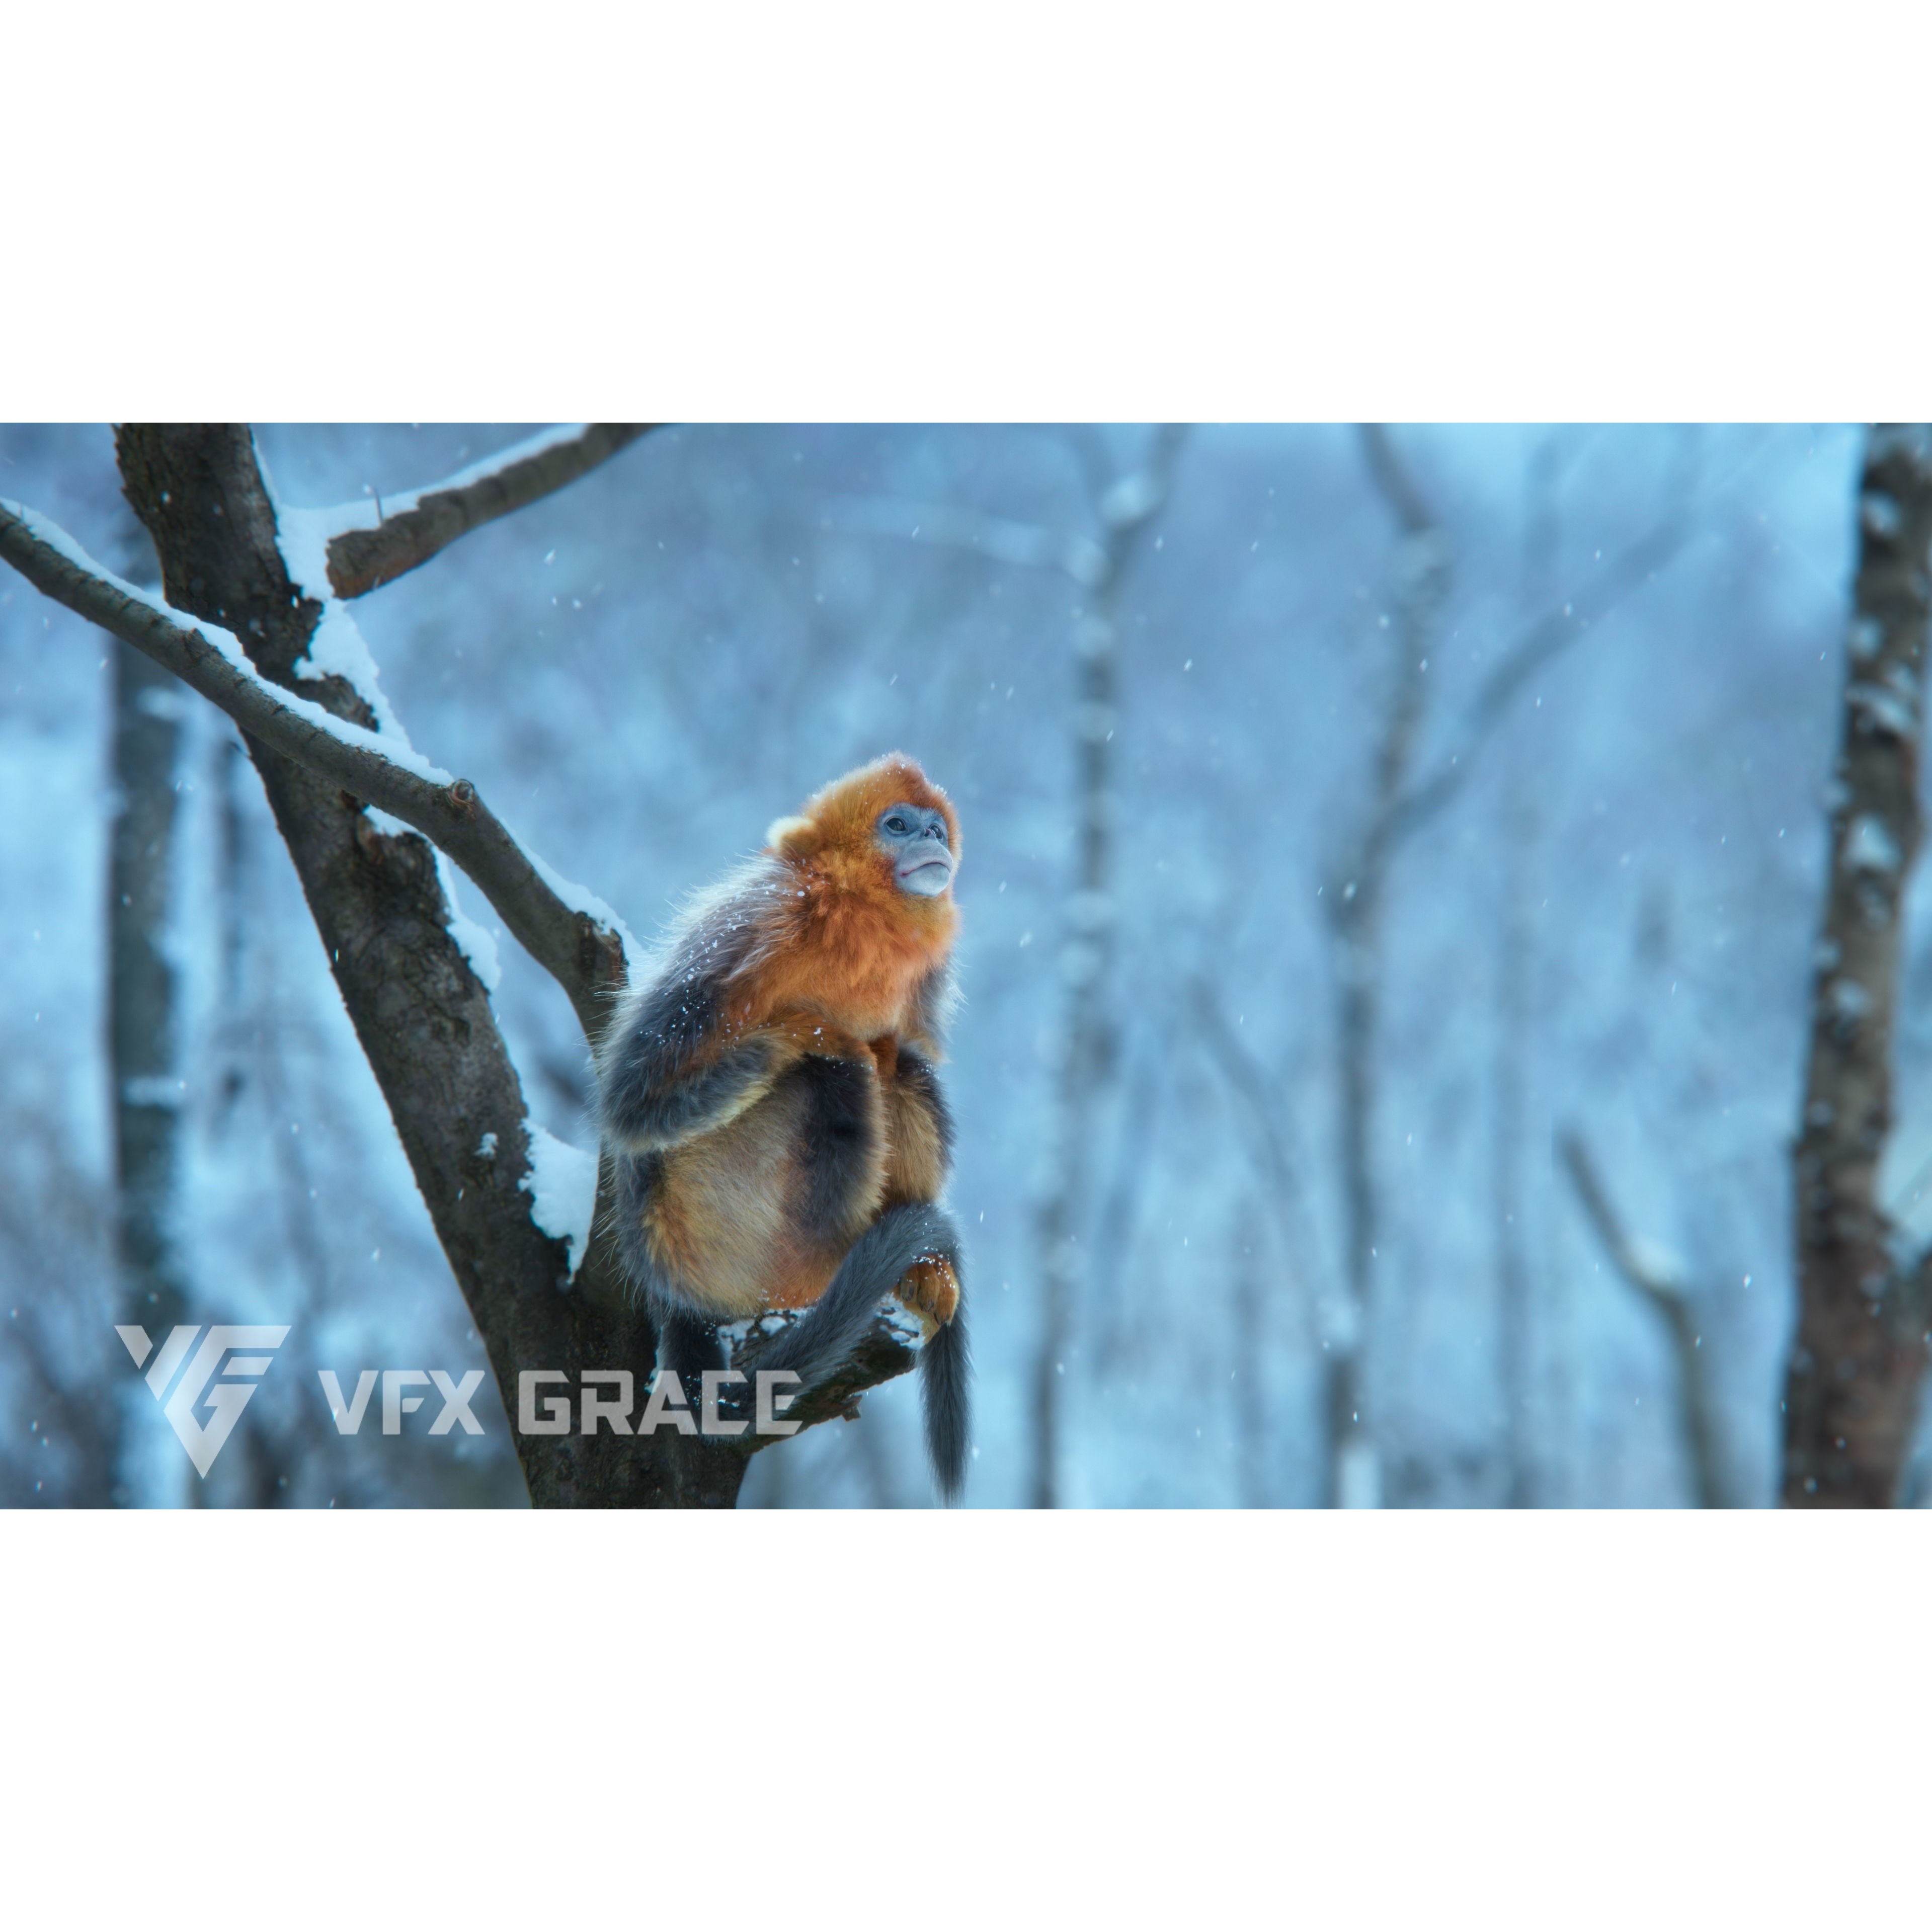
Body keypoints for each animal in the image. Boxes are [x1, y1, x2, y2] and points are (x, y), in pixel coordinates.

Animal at [594, 752, 971, 1502]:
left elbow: (900, 1051)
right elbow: (630, 1103)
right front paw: (810, 1029)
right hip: (713, 1224)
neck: (854, 916)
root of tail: (669, 1289)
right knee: (839, 1074)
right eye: (898, 825)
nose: (931, 841)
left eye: (935, 828)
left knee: (902, 1066)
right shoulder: (758, 920)